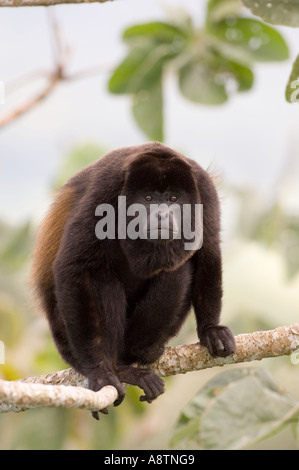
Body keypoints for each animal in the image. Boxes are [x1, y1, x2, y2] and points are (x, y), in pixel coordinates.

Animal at [31, 142, 237, 418]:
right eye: (148, 199)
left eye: (173, 199)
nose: (161, 215)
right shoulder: (105, 189)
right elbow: (74, 267)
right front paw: (100, 373)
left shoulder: (204, 190)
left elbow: (208, 252)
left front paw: (210, 330)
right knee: (100, 277)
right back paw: (120, 369)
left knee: (180, 268)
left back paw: (146, 351)